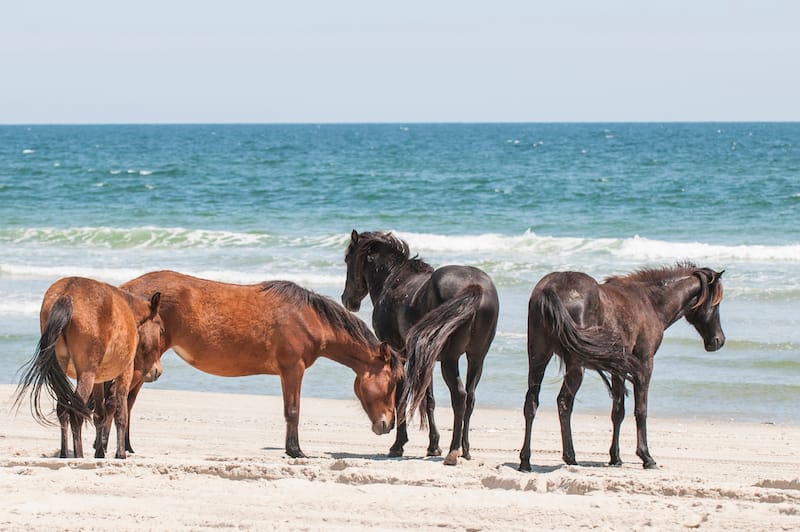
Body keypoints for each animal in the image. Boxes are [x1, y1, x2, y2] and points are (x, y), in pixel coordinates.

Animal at [14, 276, 164, 460]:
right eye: (161, 329)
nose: (157, 371)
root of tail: (67, 294)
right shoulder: (125, 372)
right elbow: (121, 413)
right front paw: (120, 453)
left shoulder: (99, 380)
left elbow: (99, 415)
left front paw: (99, 452)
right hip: (86, 375)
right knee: (76, 413)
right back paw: (78, 455)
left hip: (64, 371)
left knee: (63, 410)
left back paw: (64, 454)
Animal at [121, 270, 404, 458]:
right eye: (393, 382)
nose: (388, 425)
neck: (309, 318)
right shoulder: (293, 369)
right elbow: (293, 411)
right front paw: (296, 451)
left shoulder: (287, 372)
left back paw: (127, 447)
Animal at [340, 231, 496, 464]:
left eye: (347, 259)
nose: (347, 299)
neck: (393, 280)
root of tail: (474, 287)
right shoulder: (425, 357)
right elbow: (428, 399)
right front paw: (433, 446)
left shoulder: (399, 354)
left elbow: (400, 397)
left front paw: (398, 445)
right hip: (477, 357)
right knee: (470, 397)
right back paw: (466, 450)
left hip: (450, 359)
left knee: (459, 396)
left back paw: (453, 451)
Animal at [520, 262, 724, 470]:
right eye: (716, 304)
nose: (718, 340)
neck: (650, 302)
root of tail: (550, 288)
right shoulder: (645, 364)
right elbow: (641, 410)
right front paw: (646, 457)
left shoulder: (617, 370)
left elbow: (618, 411)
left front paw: (615, 458)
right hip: (576, 366)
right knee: (564, 403)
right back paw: (570, 457)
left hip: (538, 358)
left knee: (531, 402)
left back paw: (525, 461)